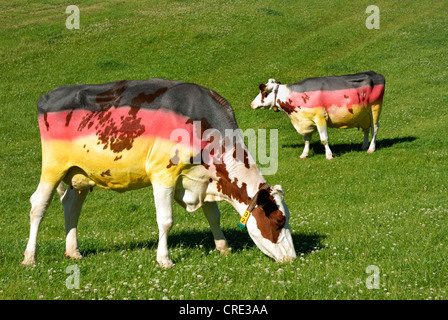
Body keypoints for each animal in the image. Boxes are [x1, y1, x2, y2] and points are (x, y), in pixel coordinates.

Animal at [22, 78, 296, 268]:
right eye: (278, 221)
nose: (293, 258)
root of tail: (49, 95)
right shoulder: (163, 174)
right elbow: (166, 220)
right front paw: (164, 259)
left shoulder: (204, 179)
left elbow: (213, 216)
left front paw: (223, 247)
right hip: (53, 167)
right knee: (38, 205)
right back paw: (29, 257)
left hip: (80, 174)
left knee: (71, 206)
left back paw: (73, 251)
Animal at [252, 71, 384, 159]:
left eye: (263, 92)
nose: (252, 104)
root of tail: (376, 74)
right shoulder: (305, 120)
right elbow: (306, 139)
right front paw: (304, 154)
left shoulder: (320, 117)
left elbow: (324, 139)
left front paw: (329, 155)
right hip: (364, 115)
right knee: (366, 129)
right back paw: (364, 146)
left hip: (375, 108)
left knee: (375, 128)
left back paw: (371, 148)